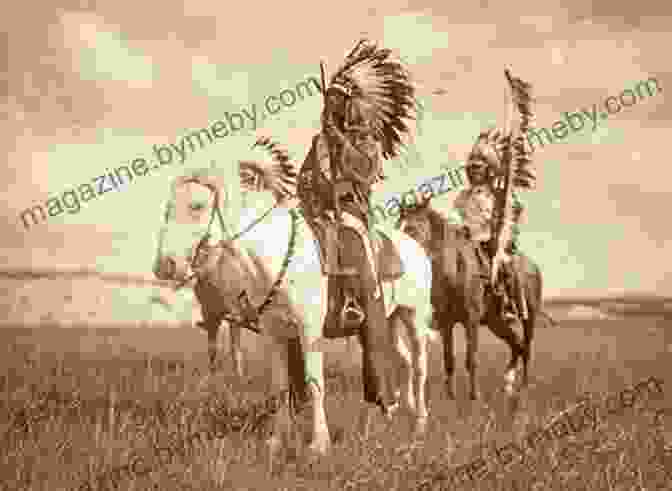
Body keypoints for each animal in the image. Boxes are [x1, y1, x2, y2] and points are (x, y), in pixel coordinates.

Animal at [152, 160, 436, 456]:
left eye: (196, 206)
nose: (164, 265)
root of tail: (416, 246)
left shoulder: (309, 332)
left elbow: (315, 383)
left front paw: (319, 444)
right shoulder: (275, 334)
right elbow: (280, 387)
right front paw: (278, 440)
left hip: (414, 318)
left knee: (419, 366)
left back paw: (419, 425)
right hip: (390, 321)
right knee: (402, 359)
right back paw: (396, 413)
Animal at [396, 195, 544, 400]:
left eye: (411, 228)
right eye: (397, 225)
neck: (454, 272)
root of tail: (534, 267)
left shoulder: (471, 321)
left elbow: (471, 358)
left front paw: (474, 395)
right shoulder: (447, 323)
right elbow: (448, 359)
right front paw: (450, 396)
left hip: (529, 317)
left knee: (526, 347)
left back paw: (523, 386)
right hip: (496, 323)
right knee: (516, 345)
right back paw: (508, 384)